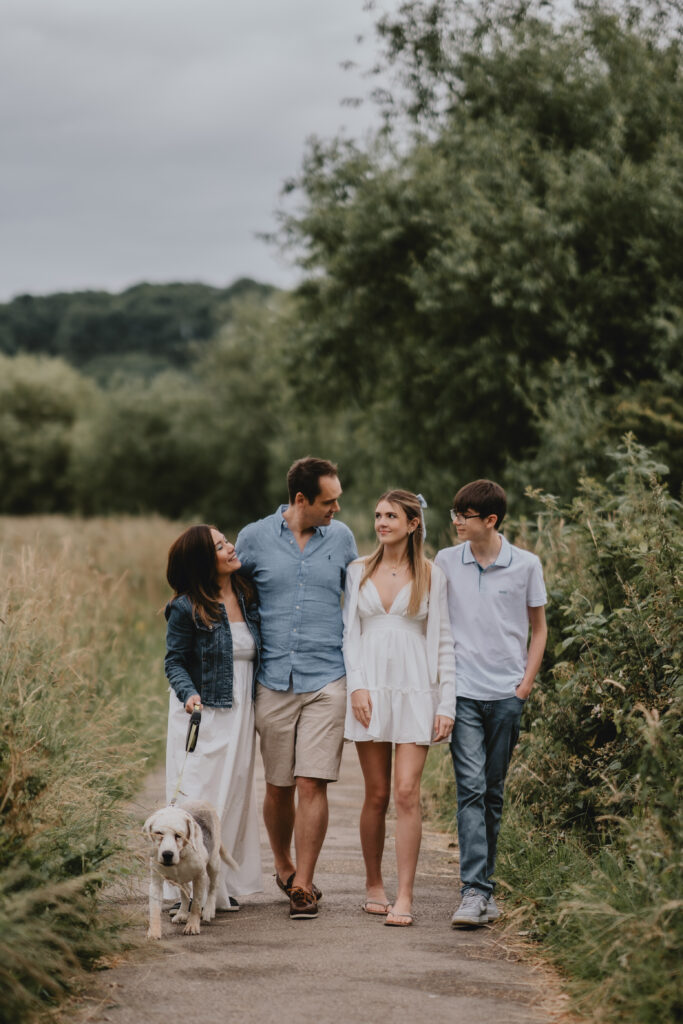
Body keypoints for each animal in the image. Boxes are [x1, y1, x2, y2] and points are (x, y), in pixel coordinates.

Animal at [143, 802, 239, 937]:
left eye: (178, 835)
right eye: (159, 833)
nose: (167, 854)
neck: (181, 857)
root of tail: (202, 802)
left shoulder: (200, 877)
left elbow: (196, 906)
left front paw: (192, 926)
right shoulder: (156, 883)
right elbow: (154, 910)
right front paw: (154, 932)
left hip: (214, 864)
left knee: (213, 887)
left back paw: (209, 909)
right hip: (174, 880)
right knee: (186, 891)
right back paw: (182, 913)